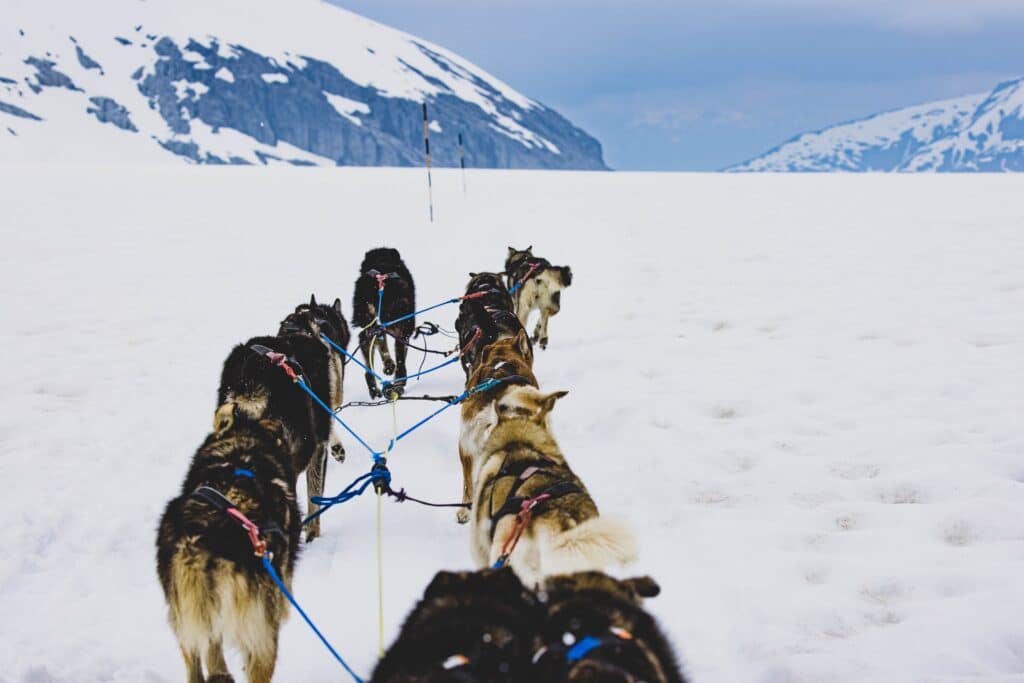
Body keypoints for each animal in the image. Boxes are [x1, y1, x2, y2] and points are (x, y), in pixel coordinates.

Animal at [352, 249, 415, 401]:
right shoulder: (404, 329)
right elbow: (400, 356)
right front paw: (398, 378)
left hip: (369, 322)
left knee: (368, 341)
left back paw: (374, 387)